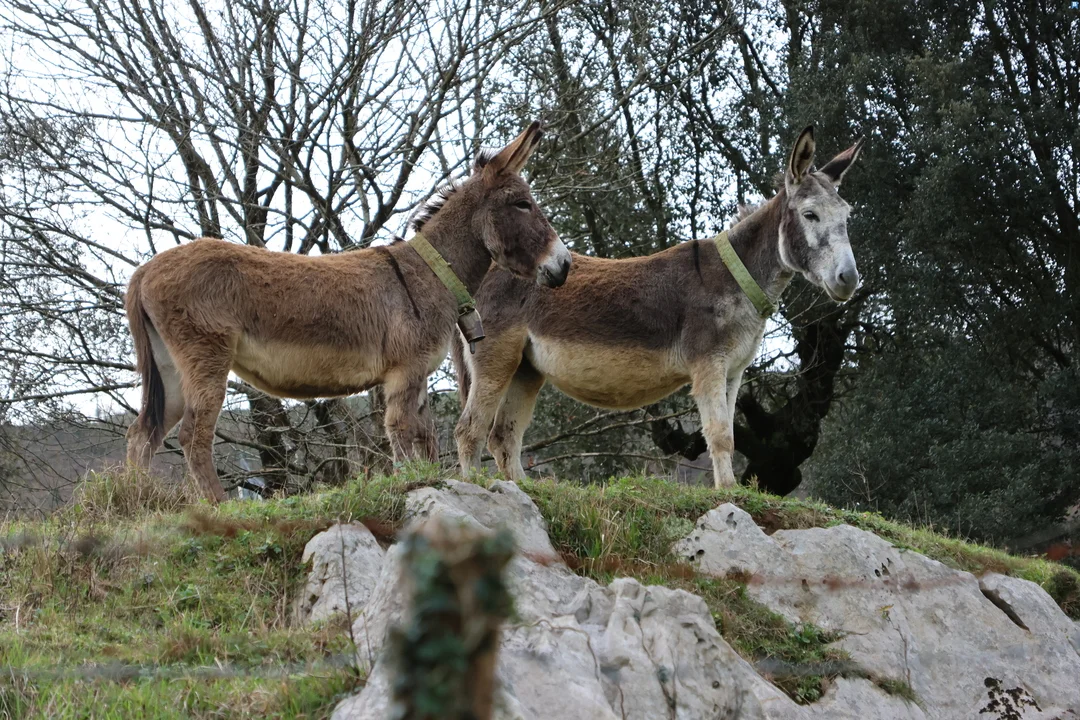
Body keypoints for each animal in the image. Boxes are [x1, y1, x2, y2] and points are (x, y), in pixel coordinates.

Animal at [125, 122, 572, 502]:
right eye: (522, 204)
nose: (564, 265)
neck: (430, 272)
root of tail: (145, 269)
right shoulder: (404, 372)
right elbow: (402, 432)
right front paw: (413, 482)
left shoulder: (417, 376)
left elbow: (425, 437)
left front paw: (433, 479)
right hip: (205, 356)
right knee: (191, 434)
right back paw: (218, 508)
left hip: (170, 368)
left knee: (143, 433)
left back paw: (139, 505)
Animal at [452, 126, 863, 489]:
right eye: (810, 215)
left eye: (846, 216)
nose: (849, 279)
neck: (737, 276)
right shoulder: (708, 364)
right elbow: (718, 435)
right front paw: (729, 495)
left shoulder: (733, 372)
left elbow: (729, 434)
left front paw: (730, 491)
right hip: (495, 357)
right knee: (470, 430)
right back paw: (477, 486)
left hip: (525, 368)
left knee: (503, 436)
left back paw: (523, 488)